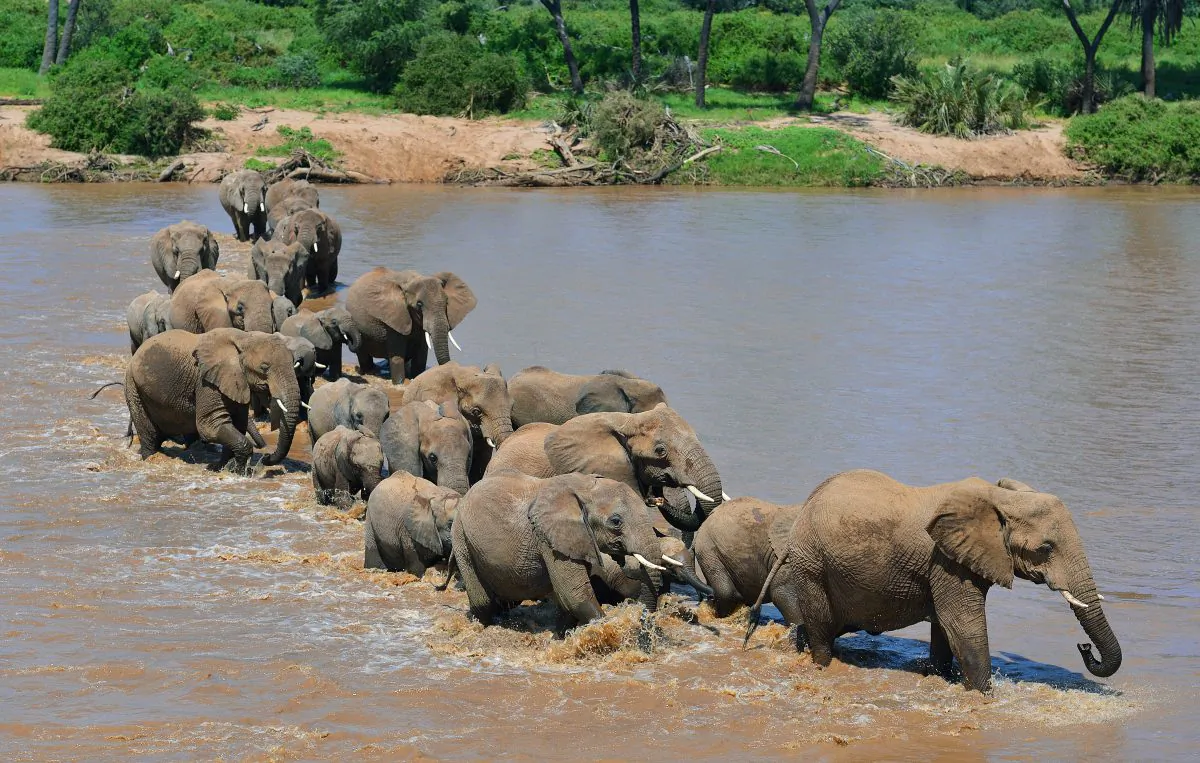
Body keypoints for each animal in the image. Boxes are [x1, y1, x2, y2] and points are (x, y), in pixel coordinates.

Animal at [124, 328, 299, 472]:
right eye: (264, 367)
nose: (266, 457)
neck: (244, 337)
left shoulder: (235, 382)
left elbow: (238, 424)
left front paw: (223, 468)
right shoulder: (206, 381)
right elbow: (211, 426)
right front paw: (238, 472)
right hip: (133, 386)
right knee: (149, 434)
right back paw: (151, 458)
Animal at [345, 268, 476, 382]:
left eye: (447, 302)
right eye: (419, 304)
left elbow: (421, 357)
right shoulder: (393, 319)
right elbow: (397, 357)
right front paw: (399, 383)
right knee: (363, 354)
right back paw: (370, 371)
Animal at [450, 471, 671, 627]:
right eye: (616, 522)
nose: (641, 613)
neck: (584, 488)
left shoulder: (579, 539)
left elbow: (565, 599)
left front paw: (561, 634)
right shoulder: (548, 539)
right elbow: (574, 595)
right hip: (461, 537)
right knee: (483, 601)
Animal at [748, 470, 1122, 694]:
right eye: (1045, 548)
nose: (1083, 647)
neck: (998, 498)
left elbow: (946, 627)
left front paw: (942, 677)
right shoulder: (946, 560)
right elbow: (963, 625)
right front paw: (984, 696)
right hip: (812, 562)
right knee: (822, 628)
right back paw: (822, 665)